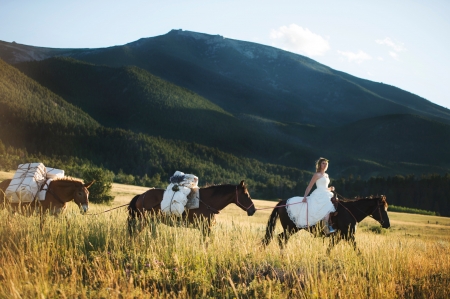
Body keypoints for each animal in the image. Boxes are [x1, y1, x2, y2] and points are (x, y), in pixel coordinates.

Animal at [126, 180, 255, 237]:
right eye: (246, 195)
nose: (253, 210)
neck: (207, 202)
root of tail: (142, 195)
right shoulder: (206, 228)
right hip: (146, 220)